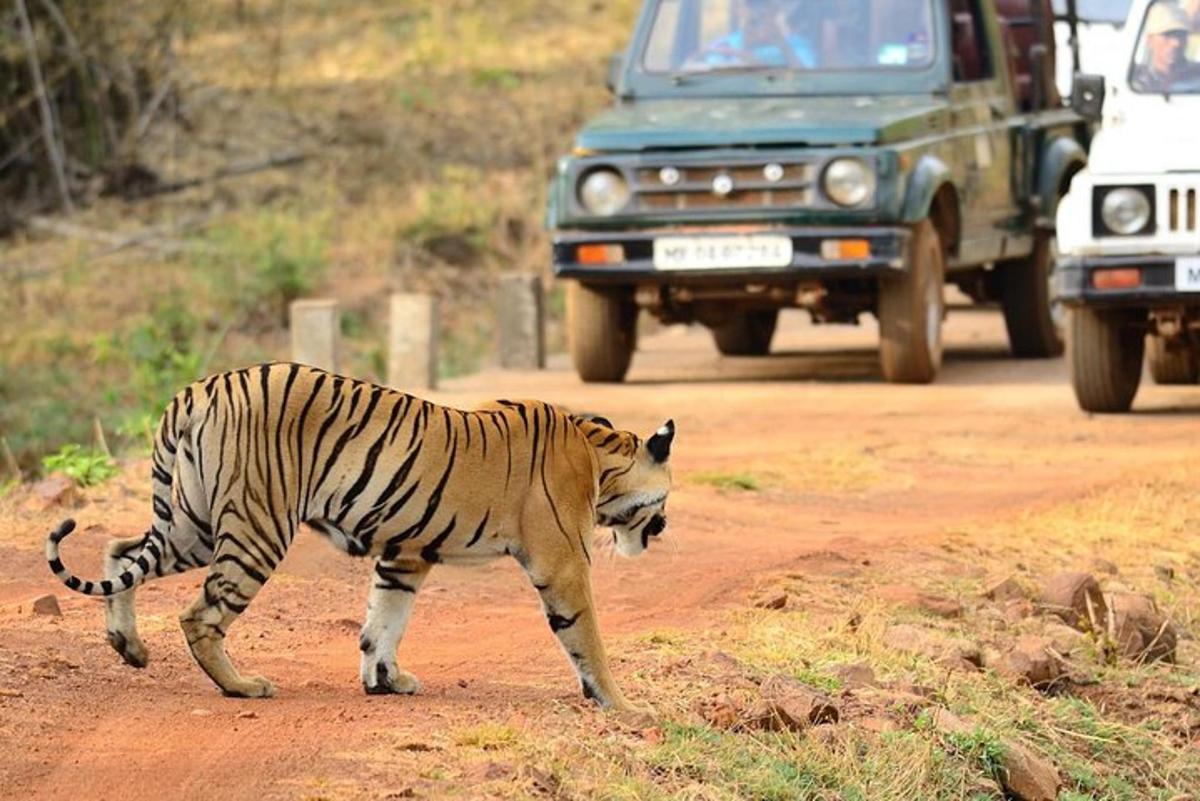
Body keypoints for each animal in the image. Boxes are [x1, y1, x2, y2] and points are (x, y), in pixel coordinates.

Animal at [44, 362, 676, 714]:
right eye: (665, 499)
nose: (665, 526)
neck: (598, 453)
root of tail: (200, 389)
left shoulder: (405, 554)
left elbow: (383, 622)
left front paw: (385, 681)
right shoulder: (563, 561)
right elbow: (588, 639)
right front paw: (623, 706)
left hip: (194, 522)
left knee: (121, 551)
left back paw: (129, 646)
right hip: (255, 528)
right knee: (199, 615)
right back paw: (242, 687)